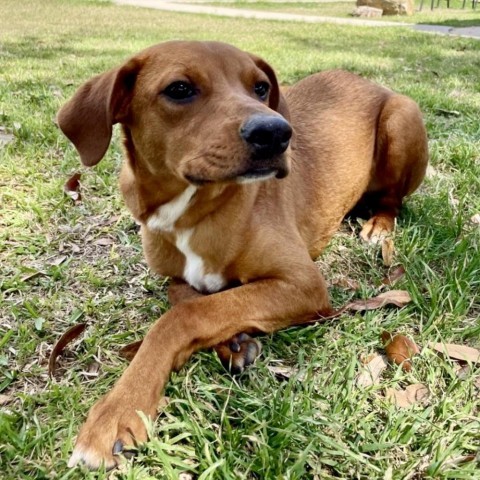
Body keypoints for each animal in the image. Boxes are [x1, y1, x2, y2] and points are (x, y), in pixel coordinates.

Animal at [56, 41, 428, 468]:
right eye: (179, 89)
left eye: (261, 87)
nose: (277, 133)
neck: (191, 211)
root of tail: (367, 81)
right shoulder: (175, 277)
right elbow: (189, 299)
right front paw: (231, 341)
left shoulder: (303, 283)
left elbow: (183, 316)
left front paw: (118, 410)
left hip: (402, 117)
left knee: (393, 200)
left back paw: (379, 224)